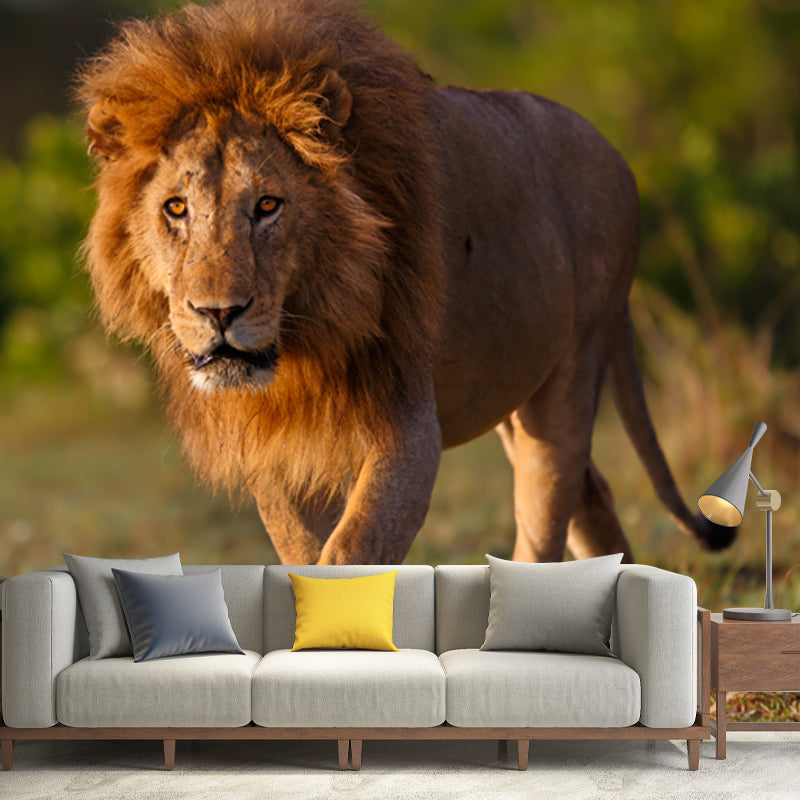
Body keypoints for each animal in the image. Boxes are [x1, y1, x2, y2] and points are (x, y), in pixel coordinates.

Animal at [76, 0, 729, 564]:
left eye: (267, 206)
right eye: (176, 209)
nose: (218, 313)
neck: (308, 340)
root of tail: (617, 155)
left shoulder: (410, 421)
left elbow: (350, 551)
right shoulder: (277, 445)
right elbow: (301, 552)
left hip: (571, 371)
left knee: (547, 514)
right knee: (593, 504)